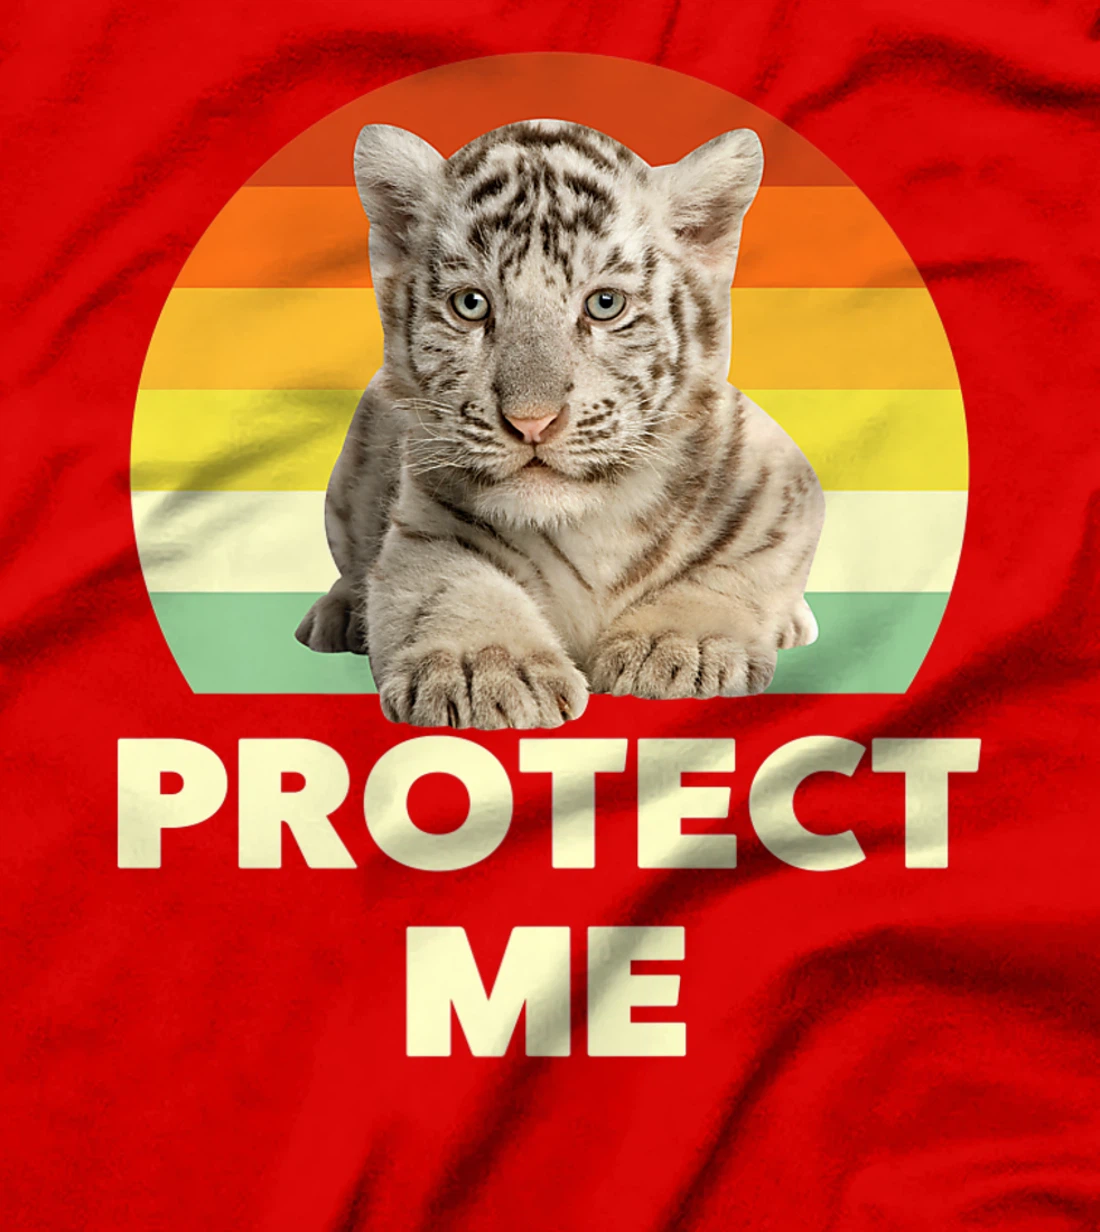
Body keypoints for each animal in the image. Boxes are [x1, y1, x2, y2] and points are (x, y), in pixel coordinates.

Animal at [295, 118, 824, 730]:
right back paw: (334, 617)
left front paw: (677, 646)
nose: (532, 422)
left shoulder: (786, 488)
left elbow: (740, 569)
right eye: (471, 305)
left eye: (604, 304)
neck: (591, 518)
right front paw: (483, 670)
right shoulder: (425, 528)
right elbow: (452, 588)